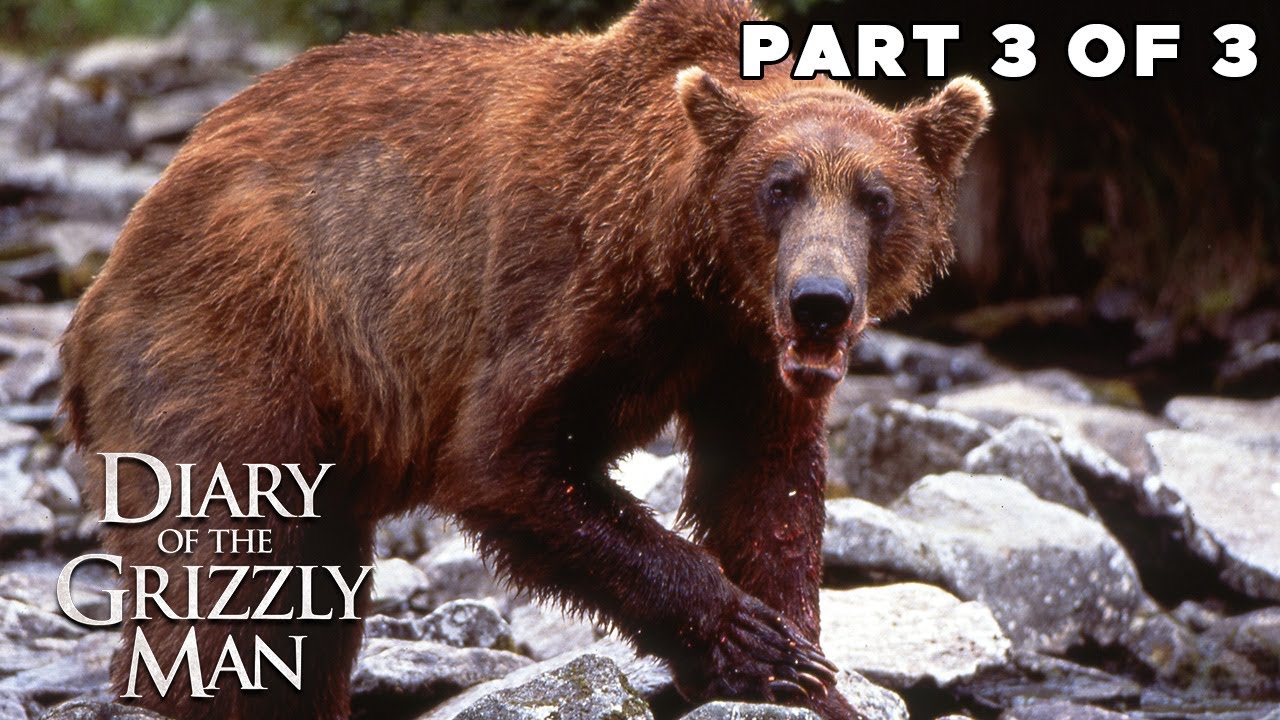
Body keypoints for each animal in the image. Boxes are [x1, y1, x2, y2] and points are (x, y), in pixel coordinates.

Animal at [58, 0, 990, 717]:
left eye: (878, 197)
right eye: (779, 187)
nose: (820, 299)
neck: (692, 270)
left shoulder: (747, 359)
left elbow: (767, 488)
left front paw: (806, 661)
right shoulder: (569, 289)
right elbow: (507, 459)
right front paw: (755, 641)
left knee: (319, 588)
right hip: (237, 350)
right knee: (221, 567)